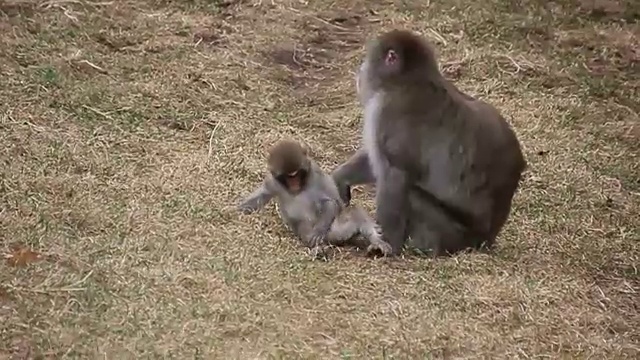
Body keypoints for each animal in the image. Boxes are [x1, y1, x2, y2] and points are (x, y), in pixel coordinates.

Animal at [238, 139, 392, 258]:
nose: (294, 184)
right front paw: (238, 210)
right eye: (288, 177)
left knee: (354, 212)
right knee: (304, 229)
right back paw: (319, 249)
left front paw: (319, 230)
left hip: (338, 224)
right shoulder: (272, 181)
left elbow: (329, 201)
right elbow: (263, 195)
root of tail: (333, 237)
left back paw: (376, 243)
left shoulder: (315, 175)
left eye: (297, 174)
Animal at [330, 30, 524, 256]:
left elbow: (394, 173)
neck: (408, 80)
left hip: (449, 234)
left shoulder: (388, 112)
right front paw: (340, 178)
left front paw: (387, 244)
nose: (360, 73)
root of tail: (484, 240)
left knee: (411, 193)